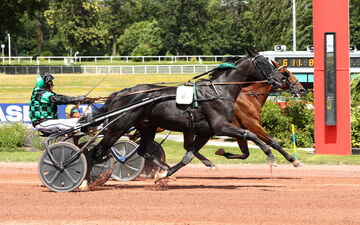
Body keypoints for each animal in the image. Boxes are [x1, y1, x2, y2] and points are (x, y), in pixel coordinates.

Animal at [80, 50, 288, 188]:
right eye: (265, 63)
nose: (282, 79)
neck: (218, 92)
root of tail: (120, 93)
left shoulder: (206, 132)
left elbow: (188, 155)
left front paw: (164, 174)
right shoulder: (221, 126)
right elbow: (249, 134)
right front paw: (271, 156)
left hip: (147, 127)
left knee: (142, 151)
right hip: (117, 127)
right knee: (97, 151)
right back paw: (84, 181)